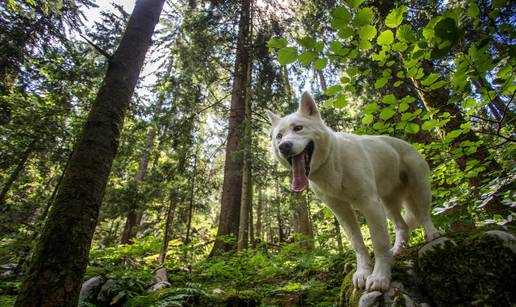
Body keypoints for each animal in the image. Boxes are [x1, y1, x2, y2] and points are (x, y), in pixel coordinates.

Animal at [266, 92, 440, 292]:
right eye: (279, 136)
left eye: (298, 128)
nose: (284, 146)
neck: (333, 163)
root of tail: (406, 143)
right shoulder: (342, 211)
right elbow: (358, 244)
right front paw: (363, 272)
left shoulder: (369, 203)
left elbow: (379, 242)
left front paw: (380, 277)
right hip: (387, 204)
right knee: (402, 227)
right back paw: (396, 250)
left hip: (419, 190)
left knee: (424, 215)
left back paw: (432, 234)